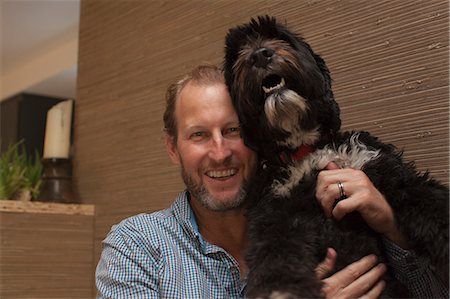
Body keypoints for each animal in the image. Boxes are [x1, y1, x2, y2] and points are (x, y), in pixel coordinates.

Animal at [223, 15, 448, 298]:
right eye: (237, 54)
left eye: (280, 37)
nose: (260, 55)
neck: (306, 150)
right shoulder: (275, 213)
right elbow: (275, 253)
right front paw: (279, 289)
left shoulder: (377, 167)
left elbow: (429, 200)